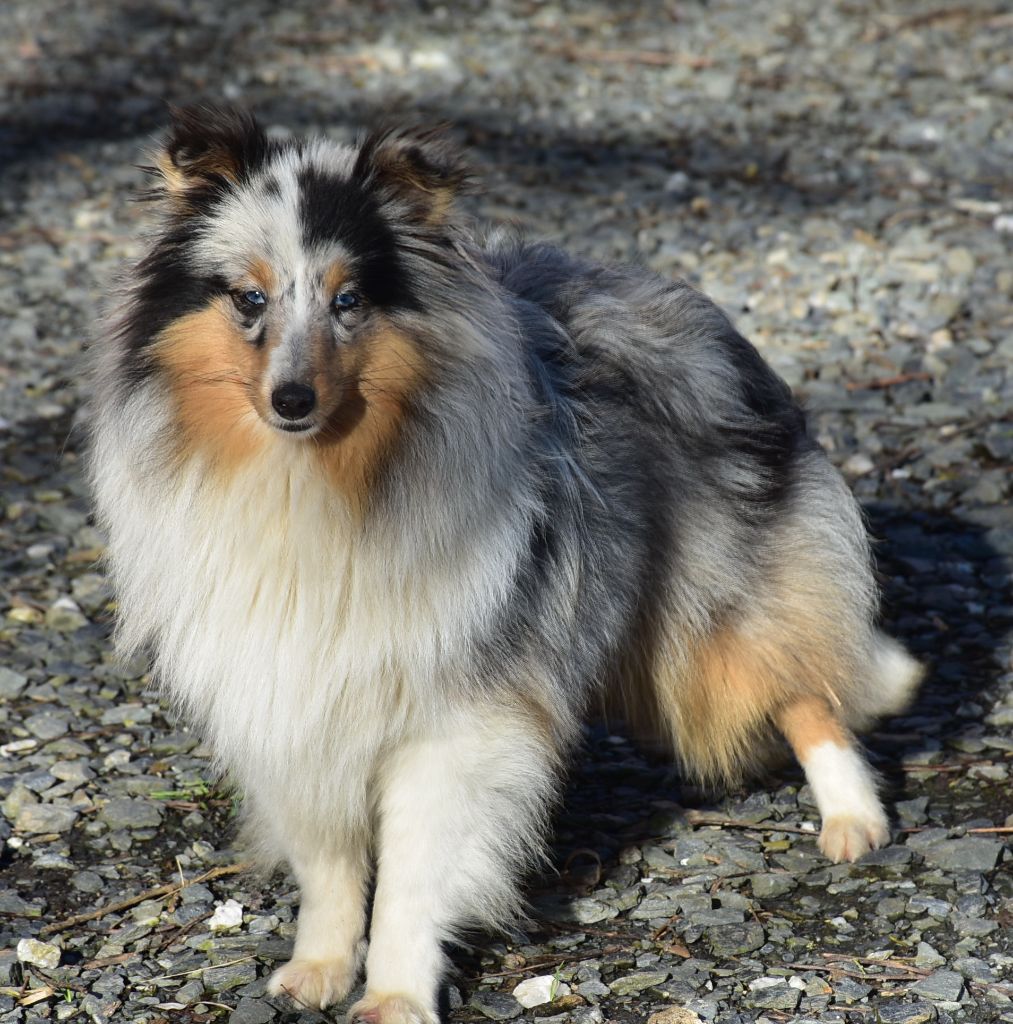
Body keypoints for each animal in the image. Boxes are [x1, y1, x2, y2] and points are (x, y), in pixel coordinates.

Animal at [89, 105, 925, 1024]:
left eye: (349, 300)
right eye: (249, 297)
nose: (292, 400)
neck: (323, 484)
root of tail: (699, 310)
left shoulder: (450, 718)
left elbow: (412, 873)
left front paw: (394, 995)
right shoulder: (295, 698)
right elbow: (330, 859)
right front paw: (319, 968)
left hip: (724, 604)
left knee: (807, 689)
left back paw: (852, 821)